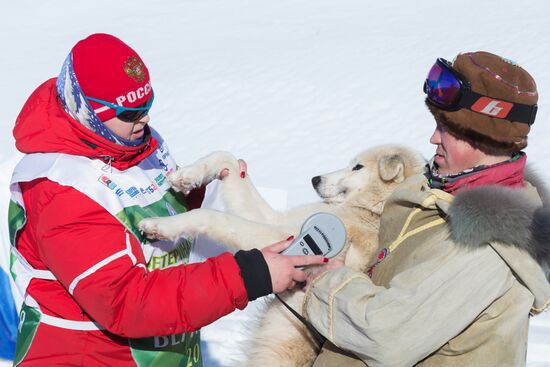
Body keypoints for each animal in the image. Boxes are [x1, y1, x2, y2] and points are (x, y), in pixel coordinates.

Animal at [140, 145, 424, 366]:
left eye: (358, 167)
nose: (315, 179)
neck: (371, 210)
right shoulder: (276, 221)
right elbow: (226, 157)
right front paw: (187, 176)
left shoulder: (285, 238)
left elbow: (213, 217)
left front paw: (161, 226)